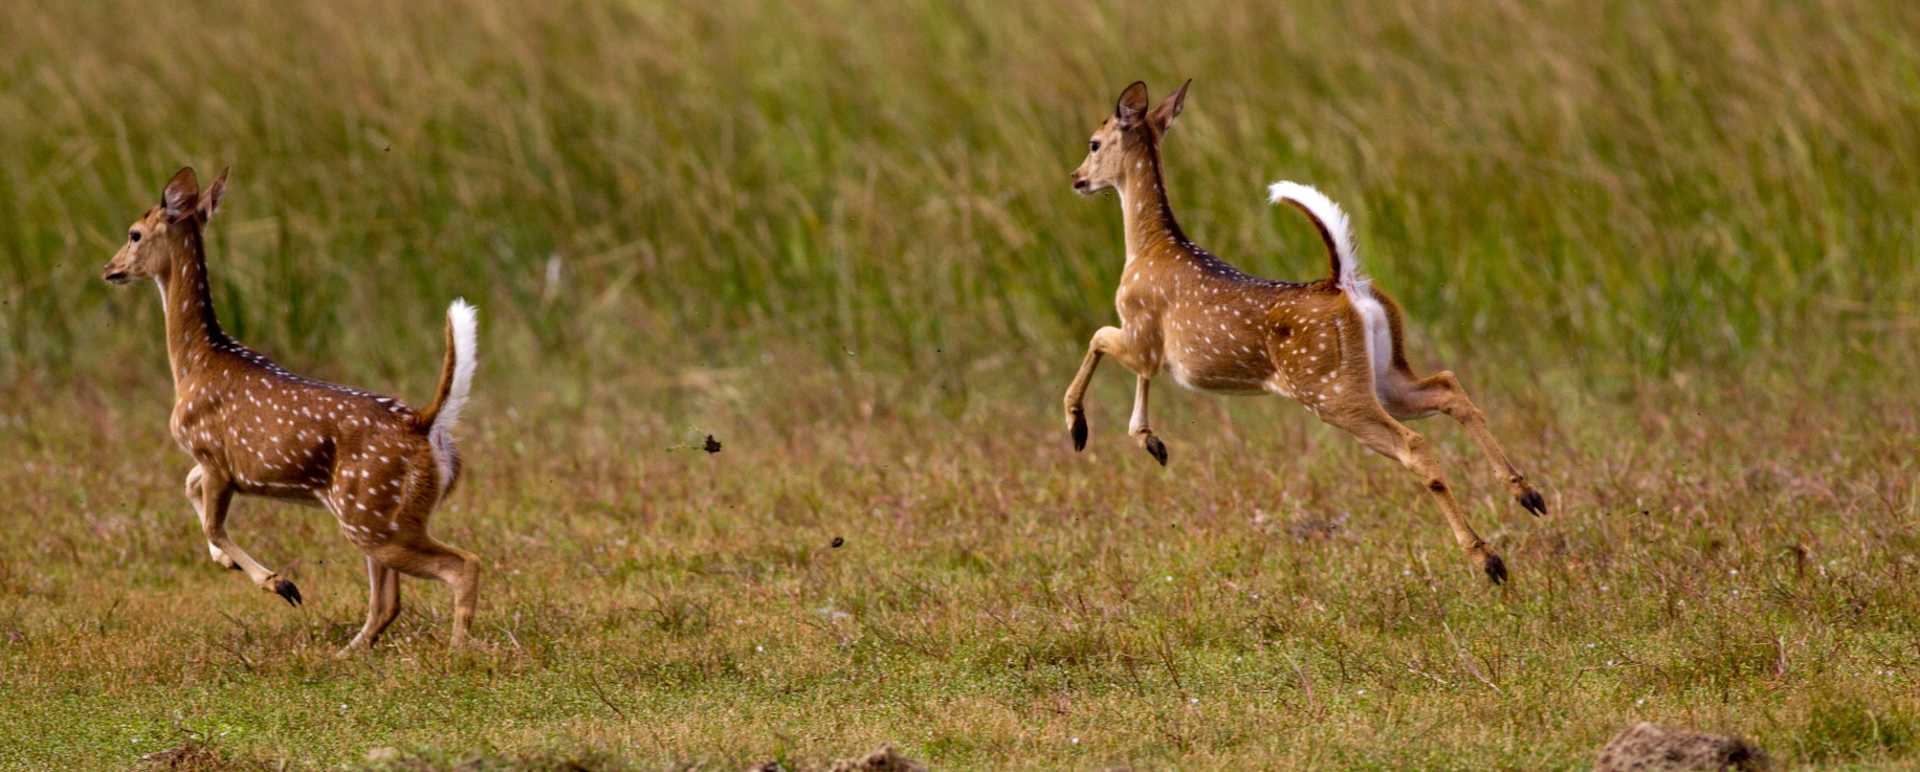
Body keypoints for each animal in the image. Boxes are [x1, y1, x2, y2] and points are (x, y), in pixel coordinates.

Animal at [101, 167, 484, 653]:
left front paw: (280, 583)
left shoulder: (213, 454)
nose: (109, 268)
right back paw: (345, 654)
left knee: (463, 564)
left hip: (375, 516)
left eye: (134, 233)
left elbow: (212, 525)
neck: (194, 363)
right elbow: (189, 490)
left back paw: (456, 653)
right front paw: (229, 563)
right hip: (376, 517)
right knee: (388, 602)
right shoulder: (217, 464)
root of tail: (425, 423)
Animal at [1064, 81, 1547, 583]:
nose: (1076, 177)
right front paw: (1150, 441)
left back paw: (1488, 558)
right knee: (1449, 388)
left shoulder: (1139, 331)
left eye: (1094, 143)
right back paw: (1529, 495)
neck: (1148, 248)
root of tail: (1345, 284)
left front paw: (1079, 427)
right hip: (1382, 375)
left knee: (1415, 444)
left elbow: (1097, 336)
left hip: (1330, 389)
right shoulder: (1147, 346)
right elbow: (1130, 368)